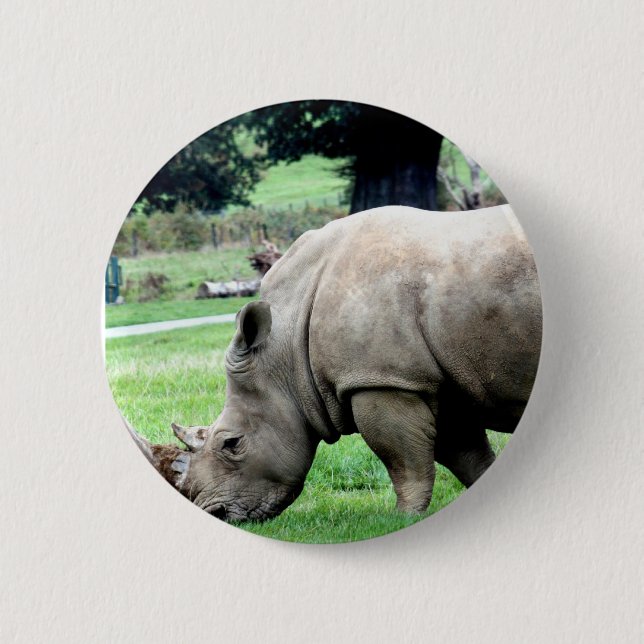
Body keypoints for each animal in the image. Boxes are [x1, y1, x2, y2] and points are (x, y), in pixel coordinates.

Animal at [129, 205, 542, 521]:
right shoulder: (433, 378)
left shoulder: (382, 379)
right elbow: (465, 454)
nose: (215, 514)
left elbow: (404, 460)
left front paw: (402, 518)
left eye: (231, 444)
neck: (285, 346)